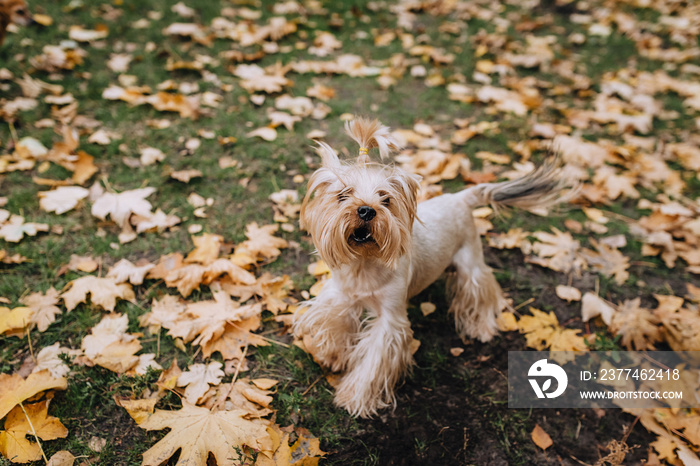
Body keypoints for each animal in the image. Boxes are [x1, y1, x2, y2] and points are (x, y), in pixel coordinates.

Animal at [292, 117, 572, 418]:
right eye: (343, 195)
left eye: (386, 199)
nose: (366, 210)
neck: (364, 262)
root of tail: (460, 197)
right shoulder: (342, 296)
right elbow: (336, 323)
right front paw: (333, 357)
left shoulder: (390, 320)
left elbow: (374, 360)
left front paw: (354, 397)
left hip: (471, 258)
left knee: (480, 288)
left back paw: (481, 327)